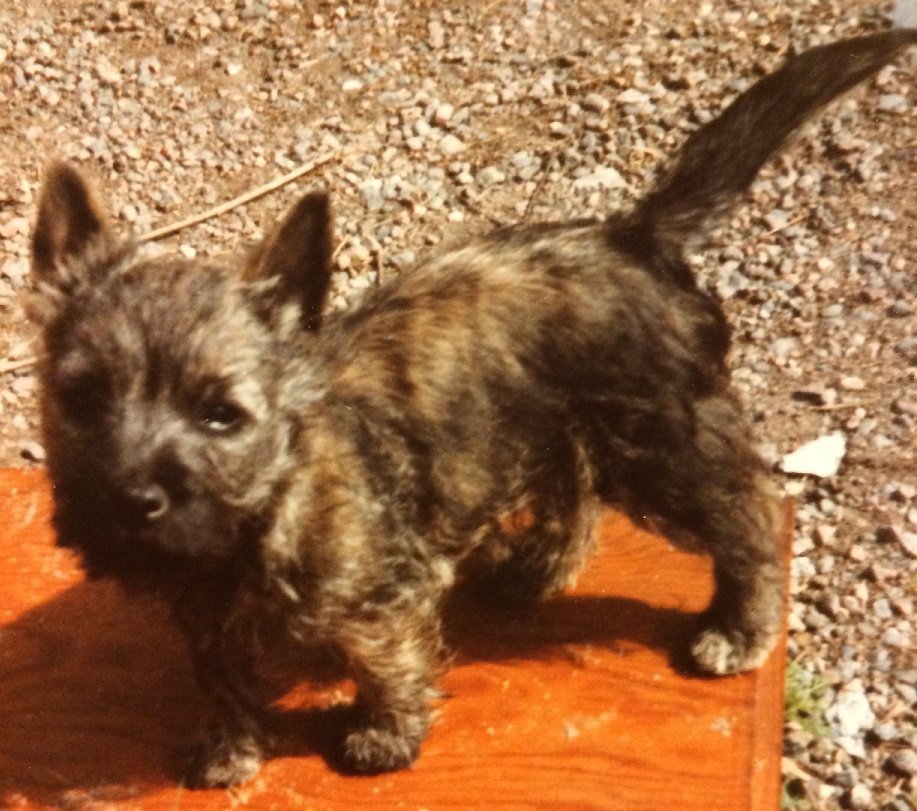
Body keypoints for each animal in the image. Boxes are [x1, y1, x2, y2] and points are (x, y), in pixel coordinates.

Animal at [28, 30, 916, 788]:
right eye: (83, 396)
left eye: (220, 414)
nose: (130, 500)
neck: (269, 500)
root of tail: (633, 235)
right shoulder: (207, 617)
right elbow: (221, 674)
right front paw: (231, 747)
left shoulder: (382, 593)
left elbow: (384, 654)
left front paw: (383, 733)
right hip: (564, 425)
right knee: (577, 493)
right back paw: (537, 570)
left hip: (662, 441)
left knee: (748, 515)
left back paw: (739, 627)